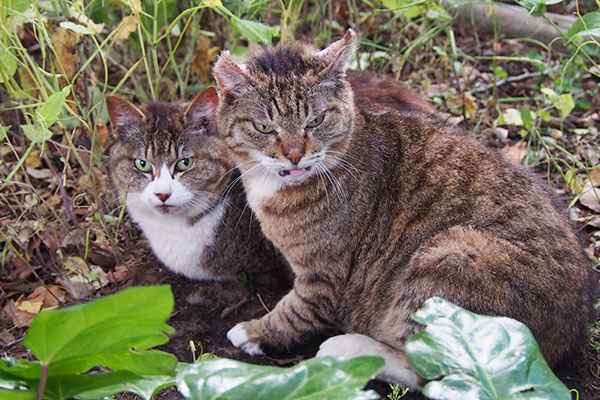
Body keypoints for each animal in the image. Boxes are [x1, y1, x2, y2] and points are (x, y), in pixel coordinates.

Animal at [211, 28, 596, 388]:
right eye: (264, 126)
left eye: (316, 121)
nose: (294, 155)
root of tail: (565, 340)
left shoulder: (324, 277)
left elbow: (295, 312)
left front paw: (255, 331)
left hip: (452, 258)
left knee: (434, 370)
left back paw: (349, 348)